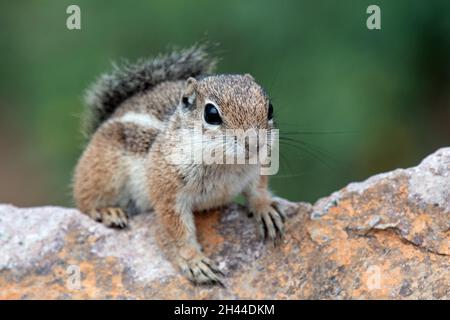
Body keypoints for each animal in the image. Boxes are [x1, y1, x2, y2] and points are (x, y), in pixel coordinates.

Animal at [72, 45, 286, 284]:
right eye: (211, 114)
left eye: (270, 108)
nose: (255, 143)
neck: (226, 166)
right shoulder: (167, 191)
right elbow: (177, 230)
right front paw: (195, 262)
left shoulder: (258, 168)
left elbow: (258, 190)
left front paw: (265, 209)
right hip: (103, 172)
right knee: (84, 199)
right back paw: (107, 211)